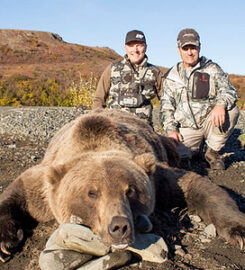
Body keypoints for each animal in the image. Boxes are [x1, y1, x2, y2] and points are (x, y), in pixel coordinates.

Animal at [0, 108, 245, 262]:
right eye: (92, 193)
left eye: (131, 191)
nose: (119, 226)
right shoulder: (45, 185)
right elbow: (20, 192)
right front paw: (6, 242)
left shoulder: (158, 178)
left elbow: (197, 187)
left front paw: (239, 231)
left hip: (167, 145)